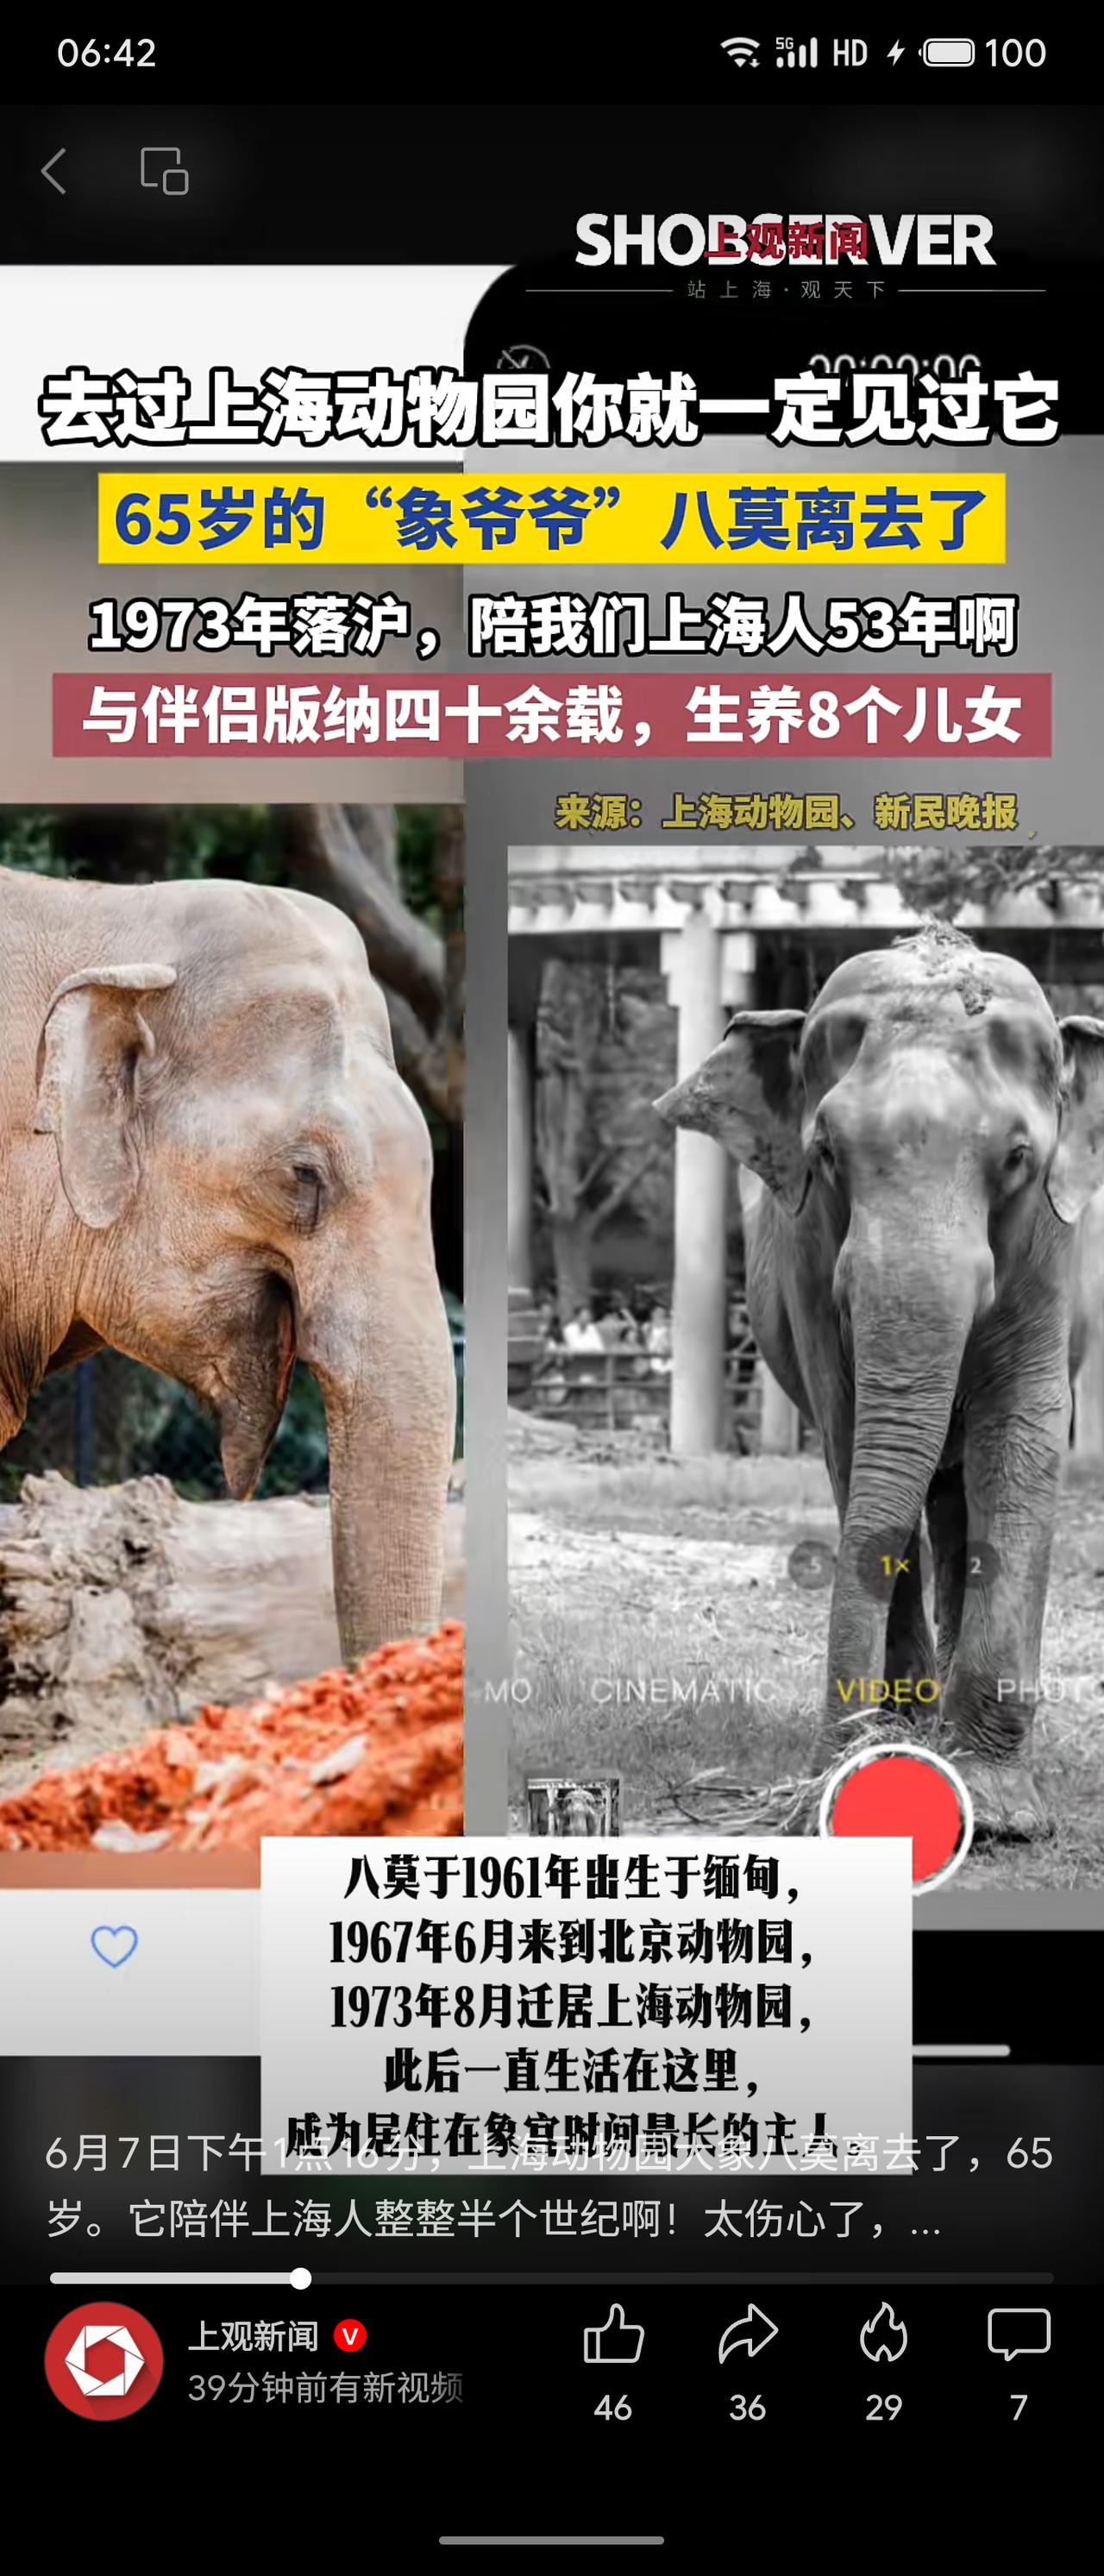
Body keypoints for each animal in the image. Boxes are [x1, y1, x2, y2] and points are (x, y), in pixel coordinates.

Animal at [654, 922, 1104, 1839]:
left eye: (1017, 1158)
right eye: (826, 1154)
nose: (809, 1791)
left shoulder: (1051, 1245)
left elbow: (1024, 1427)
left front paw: (999, 1811)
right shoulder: (809, 1261)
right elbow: (850, 1427)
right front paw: (892, 1749)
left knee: (961, 1490)